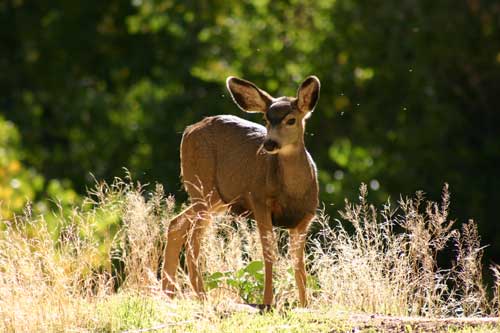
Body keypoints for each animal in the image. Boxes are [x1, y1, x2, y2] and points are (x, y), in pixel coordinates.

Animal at [162, 75, 322, 306]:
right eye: (266, 119)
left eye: (291, 120)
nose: (269, 144)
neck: (294, 193)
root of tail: (188, 130)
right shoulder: (259, 200)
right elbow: (269, 252)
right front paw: (268, 302)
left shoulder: (305, 217)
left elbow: (298, 262)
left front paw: (304, 304)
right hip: (201, 186)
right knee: (193, 239)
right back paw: (201, 296)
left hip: (217, 199)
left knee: (176, 224)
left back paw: (167, 293)